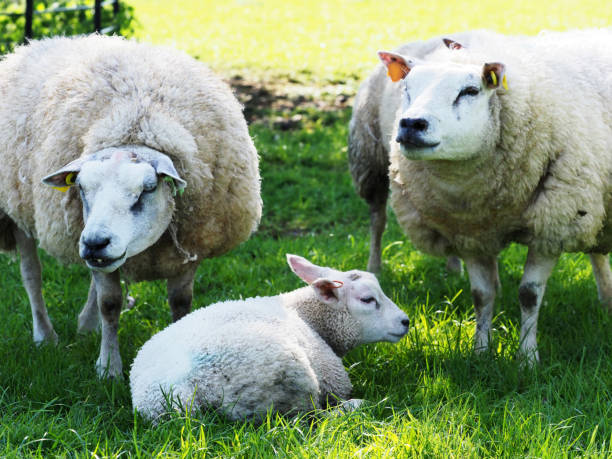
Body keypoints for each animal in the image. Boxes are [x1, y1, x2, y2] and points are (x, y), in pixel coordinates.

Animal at [0, 35, 260, 378]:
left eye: (147, 189)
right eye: (80, 188)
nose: (95, 242)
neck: (138, 121)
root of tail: (35, 44)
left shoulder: (191, 248)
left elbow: (181, 302)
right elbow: (110, 303)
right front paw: (108, 368)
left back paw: (86, 326)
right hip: (18, 212)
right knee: (32, 275)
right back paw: (45, 335)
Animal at [128, 255, 412, 424]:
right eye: (367, 299)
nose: (405, 321)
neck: (308, 317)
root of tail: (183, 390)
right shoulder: (332, 379)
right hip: (290, 380)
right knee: (308, 418)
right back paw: (356, 406)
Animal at [372, 30, 612, 364]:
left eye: (470, 90)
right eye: (406, 88)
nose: (411, 124)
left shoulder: (553, 224)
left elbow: (529, 294)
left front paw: (527, 358)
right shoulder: (470, 234)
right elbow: (482, 296)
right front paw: (480, 352)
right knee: (597, 252)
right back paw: (607, 299)